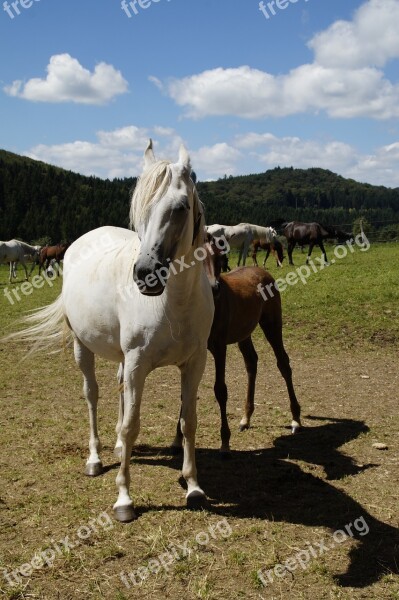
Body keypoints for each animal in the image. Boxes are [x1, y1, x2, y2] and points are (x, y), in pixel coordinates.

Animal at [3, 139, 216, 520]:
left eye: (180, 207)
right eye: (139, 210)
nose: (145, 274)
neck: (174, 302)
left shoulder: (194, 363)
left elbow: (188, 422)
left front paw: (193, 487)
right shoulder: (137, 364)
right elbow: (132, 425)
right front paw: (124, 499)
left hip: (122, 359)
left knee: (118, 394)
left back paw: (115, 447)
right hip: (83, 349)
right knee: (92, 395)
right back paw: (95, 458)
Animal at [173, 241, 302, 452]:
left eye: (221, 259)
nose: (214, 288)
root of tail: (262, 271)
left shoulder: (219, 347)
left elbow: (220, 390)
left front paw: (225, 441)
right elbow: (185, 393)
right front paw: (177, 439)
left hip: (272, 325)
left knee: (283, 363)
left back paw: (296, 419)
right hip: (244, 334)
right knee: (251, 362)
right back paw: (246, 418)